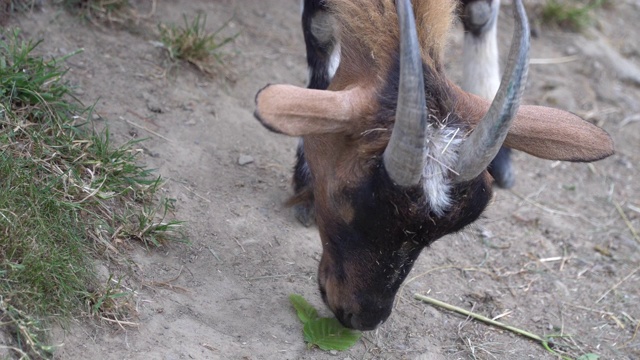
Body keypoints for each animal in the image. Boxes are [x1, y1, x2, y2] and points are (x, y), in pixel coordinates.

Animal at [255, 0, 616, 332]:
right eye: (343, 199)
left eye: (451, 228)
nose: (363, 318)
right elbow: (318, 34)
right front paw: (303, 180)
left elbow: (482, 14)